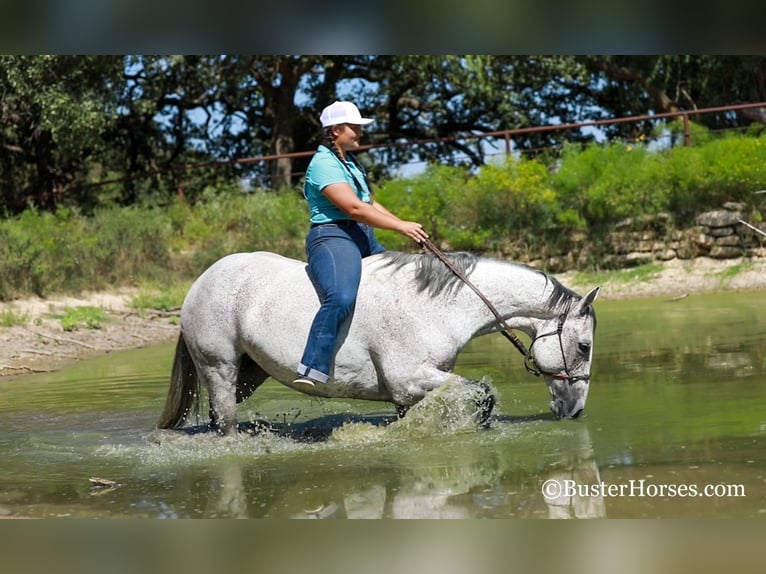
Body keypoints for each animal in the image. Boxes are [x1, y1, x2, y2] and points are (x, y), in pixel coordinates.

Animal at [157, 250, 600, 436]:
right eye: (584, 347)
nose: (577, 410)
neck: (437, 306)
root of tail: (201, 281)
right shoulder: (411, 379)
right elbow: (482, 394)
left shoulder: (410, 391)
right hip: (220, 367)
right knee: (225, 420)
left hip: (249, 375)